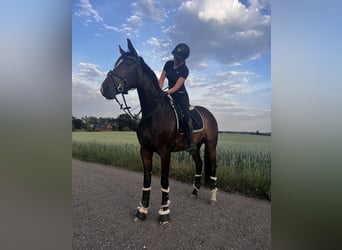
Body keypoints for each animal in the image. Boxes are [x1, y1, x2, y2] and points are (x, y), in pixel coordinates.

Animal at [100, 39, 218, 225]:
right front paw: (142, 209)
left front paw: (164, 212)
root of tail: (209, 113)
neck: (154, 112)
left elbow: (163, 180)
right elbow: (147, 179)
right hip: (195, 147)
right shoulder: (145, 150)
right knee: (199, 164)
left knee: (212, 166)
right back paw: (194, 192)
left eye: (128, 63)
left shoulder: (164, 152)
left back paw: (213, 197)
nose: (104, 88)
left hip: (211, 145)